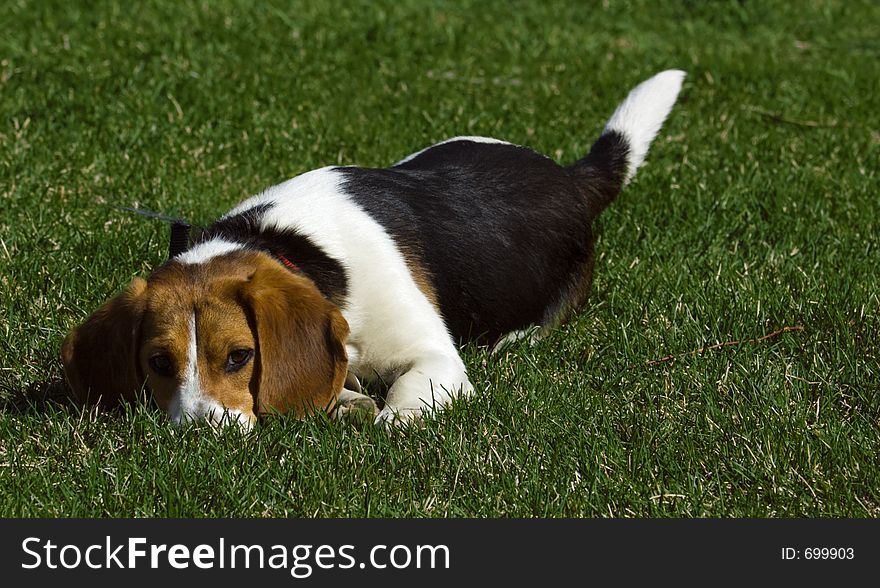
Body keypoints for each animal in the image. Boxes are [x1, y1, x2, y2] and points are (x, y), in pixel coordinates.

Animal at [62, 69, 688, 430]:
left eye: (239, 357)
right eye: (159, 363)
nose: (197, 433)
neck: (290, 246)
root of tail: (571, 179)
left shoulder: (435, 360)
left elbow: (402, 404)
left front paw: (384, 420)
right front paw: (347, 397)